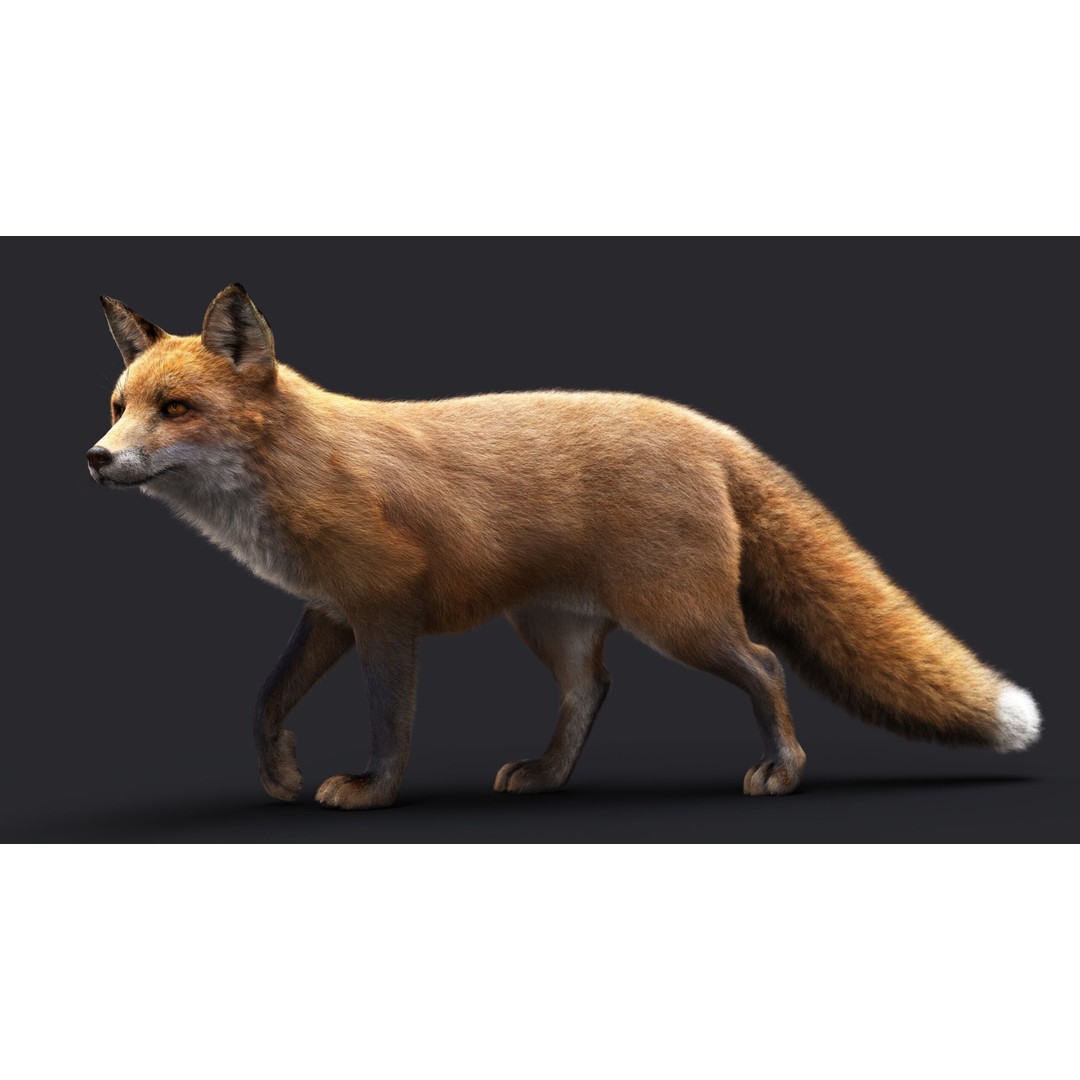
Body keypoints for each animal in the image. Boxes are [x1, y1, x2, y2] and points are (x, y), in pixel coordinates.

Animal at [88, 283, 1041, 809]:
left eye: (177, 409)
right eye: (119, 407)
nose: (97, 459)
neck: (298, 470)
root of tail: (712, 429)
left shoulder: (387, 612)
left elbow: (391, 721)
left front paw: (372, 792)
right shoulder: (330, 611)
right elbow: (264, 702)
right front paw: (280, 777)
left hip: (680, 619)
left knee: (766, 664)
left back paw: (783, 769)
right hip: (555, 626)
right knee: (592, 690)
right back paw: (547, 774)